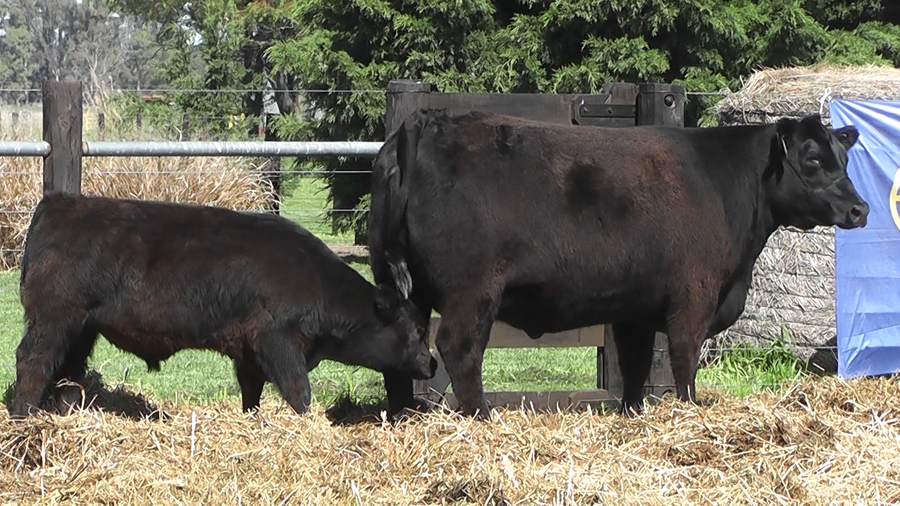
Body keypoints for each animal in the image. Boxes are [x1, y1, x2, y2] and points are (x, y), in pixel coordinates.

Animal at [7, 192, 437, 419]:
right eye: (418, 330)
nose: (432, 364)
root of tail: (59, 202)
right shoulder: (277, 342)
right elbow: (299, 392)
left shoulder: (248, 353)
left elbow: (252, 394)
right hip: (54, 320)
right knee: (32, 361)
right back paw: (23, 415)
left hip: (81, 329)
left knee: (67, 370)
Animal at [368, 108, 869, 420]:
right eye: (813, 159)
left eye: (845, 158)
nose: (859, 209)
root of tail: (423, 121)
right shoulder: (693, 297)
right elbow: (684, 360)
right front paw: (689, 410)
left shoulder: (636, 309)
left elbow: (635, 367)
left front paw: (633, 414)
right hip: (472, 290)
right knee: (460, 348)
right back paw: (482, 418)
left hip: (400, 286)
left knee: (400, 347)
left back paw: (403, 416)